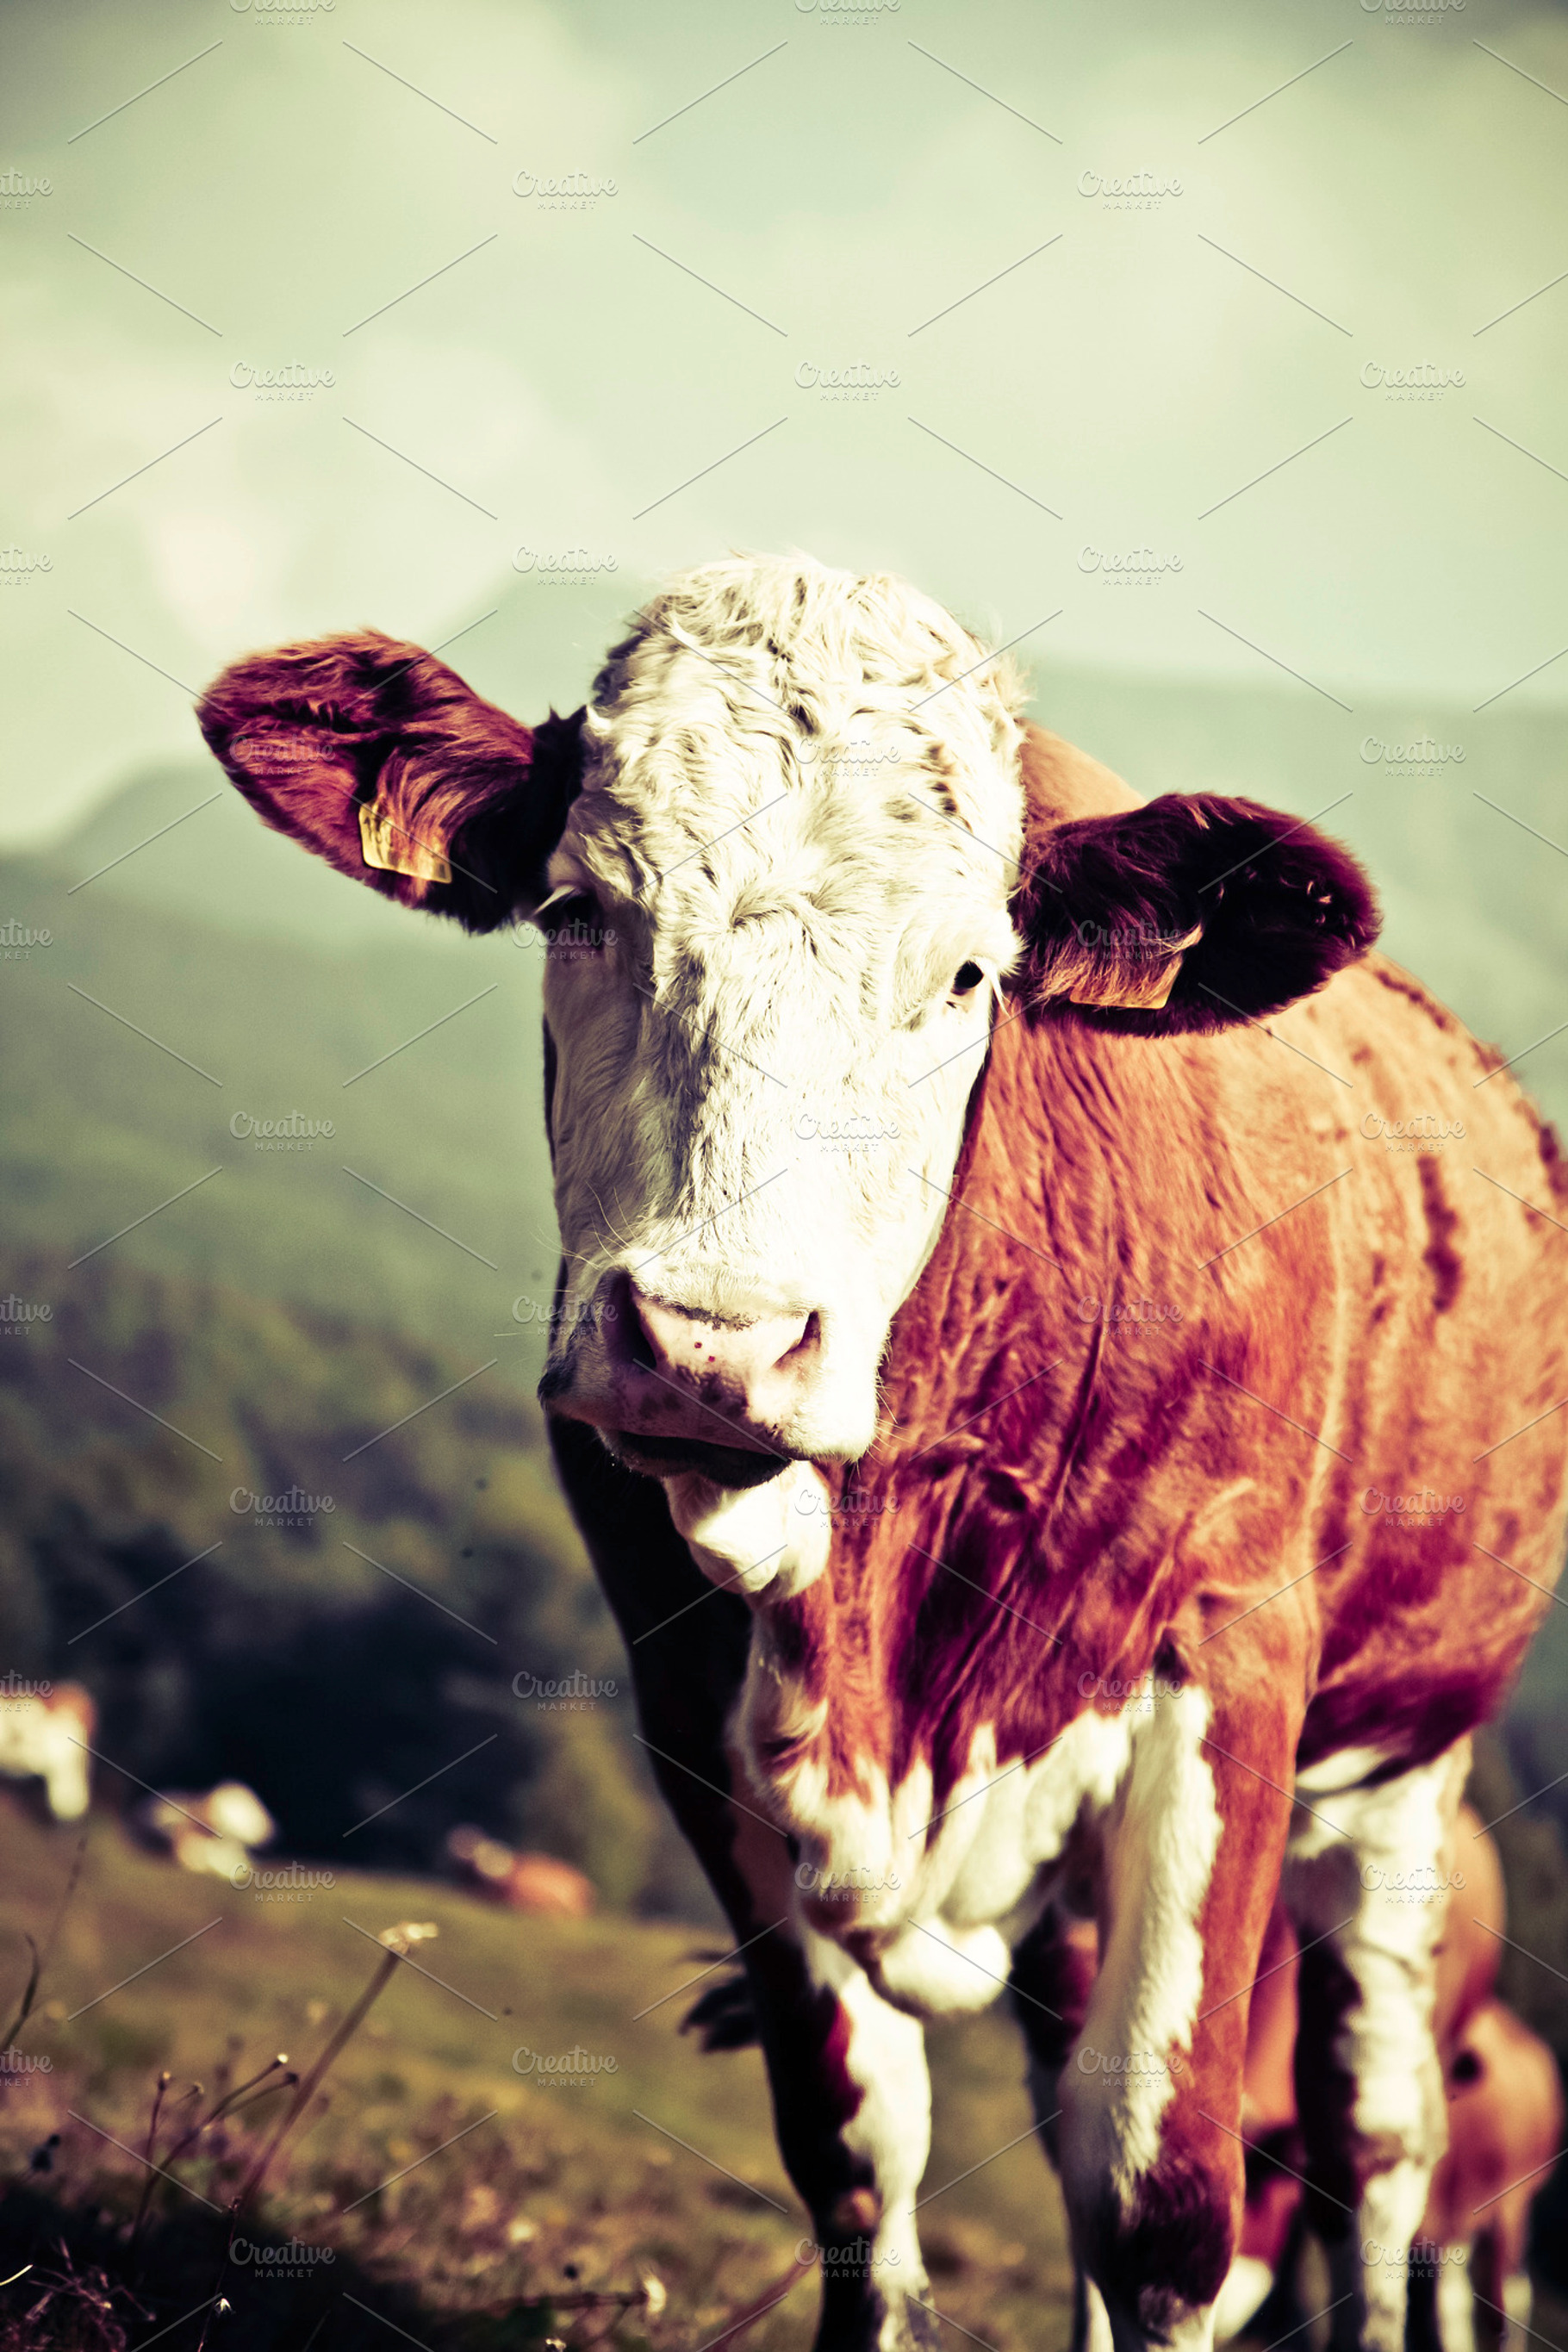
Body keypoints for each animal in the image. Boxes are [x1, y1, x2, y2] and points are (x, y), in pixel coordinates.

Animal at [199, 554, 1568, 2352]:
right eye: (576, 914)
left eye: (972, 977)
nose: (710, 1337)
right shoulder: (689, 1691)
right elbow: (860, 2151)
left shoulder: (1231, 1658)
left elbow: (1164, 2197)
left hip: (1407, 1777)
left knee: (1378, 2149)